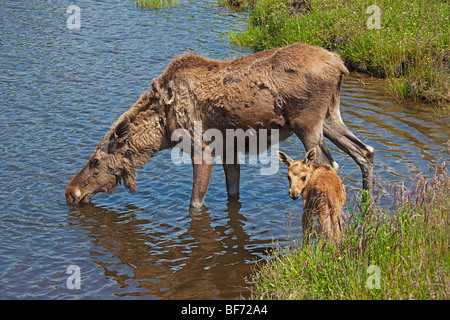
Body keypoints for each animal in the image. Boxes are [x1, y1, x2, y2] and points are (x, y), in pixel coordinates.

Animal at [65, 42, 374, 208]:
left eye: (95, 161)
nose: (70, 192)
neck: (163, 128)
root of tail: (340, 65)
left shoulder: (202, 150)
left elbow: (195, 203)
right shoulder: (229, 150)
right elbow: (232, 193)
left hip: (307, 123)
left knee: (329, 165)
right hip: (330, 118)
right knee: (365, 152)